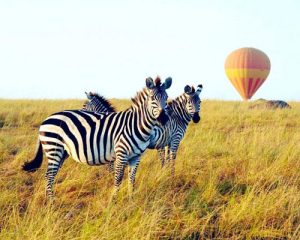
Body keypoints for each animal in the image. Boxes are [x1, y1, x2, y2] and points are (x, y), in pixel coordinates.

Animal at [22, 77, 172, 199]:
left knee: (51, 175)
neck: (135, 124)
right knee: (49, 175)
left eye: (166, 97)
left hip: (61, 152)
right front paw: (114, 200)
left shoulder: (136, 156)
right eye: (152, 98)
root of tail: (45, 120)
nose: (163, 118)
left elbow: (131, 178)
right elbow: (117, 177)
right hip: (54, 148)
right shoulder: (120, 153)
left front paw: (131, 199)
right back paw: (51, 202)